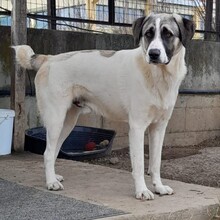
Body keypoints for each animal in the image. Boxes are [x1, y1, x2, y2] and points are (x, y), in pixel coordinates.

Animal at [12, 12, 194, 200]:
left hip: (67, 123)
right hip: (56, 119)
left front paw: (159, 187)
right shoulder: (137, 127)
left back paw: (54, 177)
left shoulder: (159, 128)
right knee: (47, 153)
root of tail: (49, 58)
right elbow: (139, 165)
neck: (158, 75)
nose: (153, 54)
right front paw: (142, 190)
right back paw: (51, 183)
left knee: (53, 150)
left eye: (168, 34)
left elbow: (156, 163)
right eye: (148, 34)